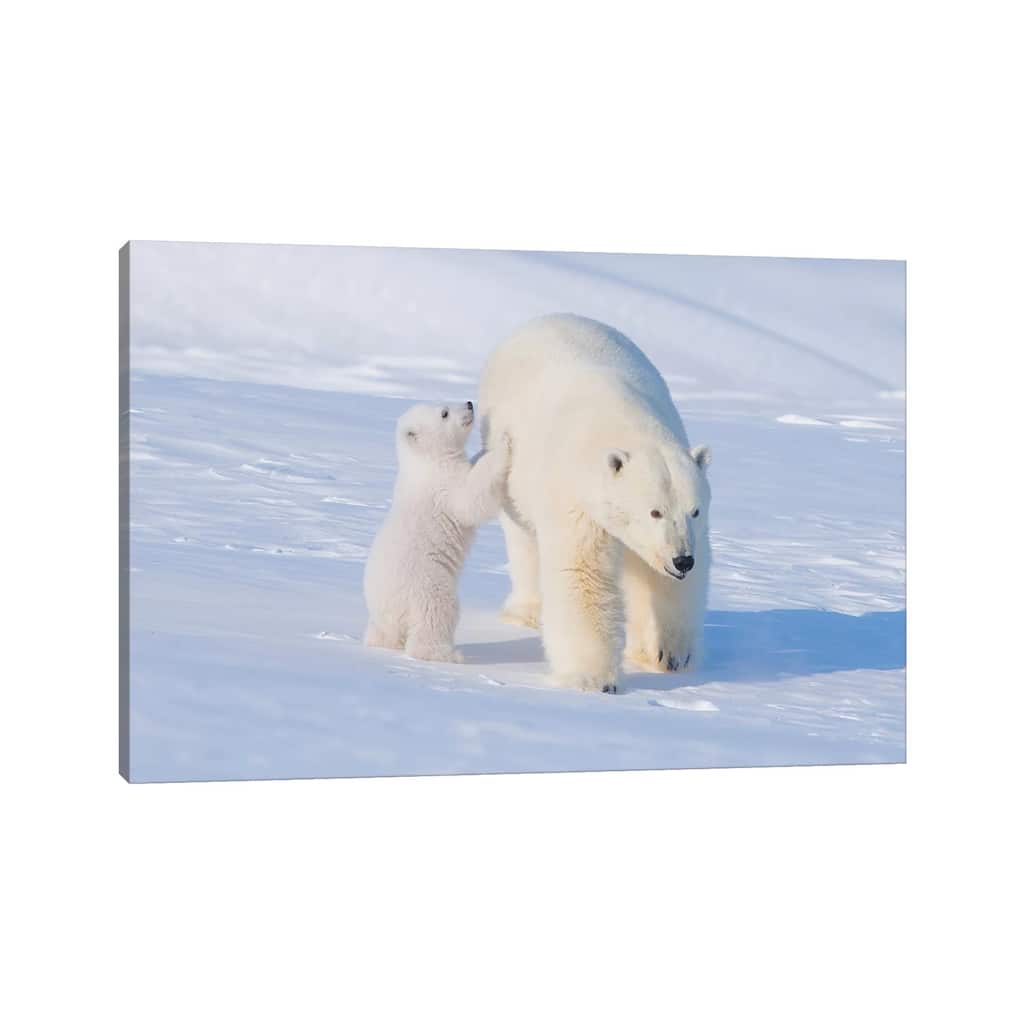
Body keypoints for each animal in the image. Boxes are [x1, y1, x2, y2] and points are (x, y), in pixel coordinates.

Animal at [363, 400, 511, 663]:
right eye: (444, 413)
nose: (469, 404)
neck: (426, 462)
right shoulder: (443, 487)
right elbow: (470, 500)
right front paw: (503, 444)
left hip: (386, 615)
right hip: (427, 583)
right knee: (438, 613)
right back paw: (447, 654)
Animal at [478, 313, 712, 693]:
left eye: (694, 510)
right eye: (654, 511)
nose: (682, 560)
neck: (621, 421)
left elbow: (657, 576)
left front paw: (667, 654)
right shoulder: (575, 498)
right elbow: (582, 572)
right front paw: (593, 678)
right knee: (524, 539)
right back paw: (527, 611)